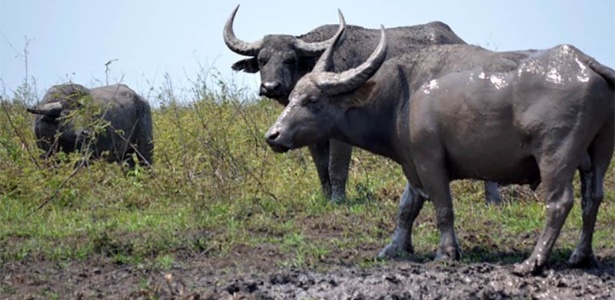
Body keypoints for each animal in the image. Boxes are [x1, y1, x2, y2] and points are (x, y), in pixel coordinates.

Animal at [224, 4, 502, 204]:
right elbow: (321, 168)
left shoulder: (341, 136)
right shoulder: (312, 137)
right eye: (263, 60)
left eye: (290, 59)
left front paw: (338, 200)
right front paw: (326, 198)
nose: (270, 87)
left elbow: (336, 166)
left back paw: (492, 200)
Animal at [264, 24, 615, 276]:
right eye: (293, 97)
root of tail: (582, 61)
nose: (273, 135)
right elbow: (407, 206)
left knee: (560, 202)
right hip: (599, 155)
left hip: (556, 156)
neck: (400, 96)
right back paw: (581, 256)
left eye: (313, 100)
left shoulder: (431, 162)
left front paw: (446, 253)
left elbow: (443, 208)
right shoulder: (413, 163)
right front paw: (394, 248)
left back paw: (532, 262)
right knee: (592, 198)